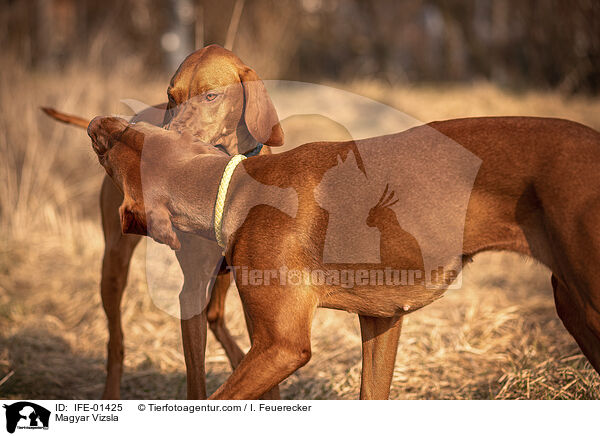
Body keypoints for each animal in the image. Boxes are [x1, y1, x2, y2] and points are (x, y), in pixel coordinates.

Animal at [42, 45, 284, 398]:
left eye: (211, 95)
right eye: (172, 96)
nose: (167, 139)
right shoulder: (191, 290)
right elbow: (196, 380)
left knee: (216, 316)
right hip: (113, 264)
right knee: (116, 342)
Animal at [85, 115, 600, 398]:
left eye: (105, 153)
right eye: (133, 128)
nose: (95, 124)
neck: (237, 191)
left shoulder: (281, 346)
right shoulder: (382, 319)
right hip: (573, 306)